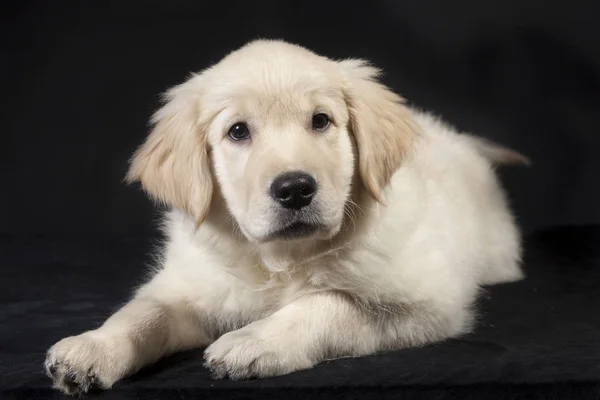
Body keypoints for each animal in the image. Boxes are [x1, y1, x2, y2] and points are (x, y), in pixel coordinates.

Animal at [45, 39, 524, 396]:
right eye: (238, 131)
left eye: (321, 121)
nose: (294, 189)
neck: (280, 259)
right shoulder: (193, 283)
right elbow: (143, 311)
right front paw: (91, 347)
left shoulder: (429, 302)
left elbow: (330, 302)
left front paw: (255, 340)